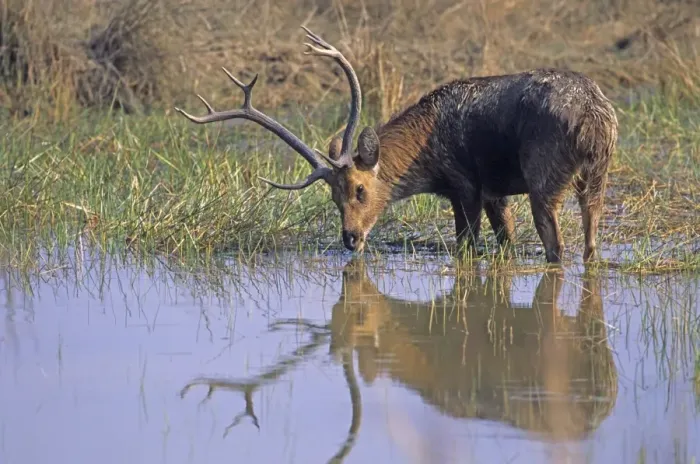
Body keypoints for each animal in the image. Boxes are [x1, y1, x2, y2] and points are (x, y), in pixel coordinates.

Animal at [175, 27, 618, 264]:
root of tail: (595, 118)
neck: (427, 158)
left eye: (360, 189)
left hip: (544, 172)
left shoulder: (466, 185)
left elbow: (467, 246)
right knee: (591, 238)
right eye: (332, 197)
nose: (351, 238)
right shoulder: (494, 191)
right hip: (597, 173)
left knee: (556, 244)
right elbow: (504, 241)